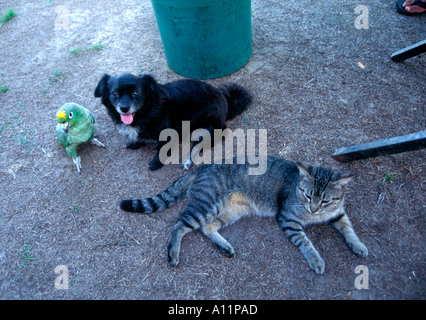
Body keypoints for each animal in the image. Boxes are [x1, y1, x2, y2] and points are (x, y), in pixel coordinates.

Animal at [95, 74, 251, 171]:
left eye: (136, 92)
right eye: (115, 93)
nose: (124, 108)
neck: (146, 112)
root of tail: (226, 101)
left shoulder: (167, 133)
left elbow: (161, 149)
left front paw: (156, 162)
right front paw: (134, 142)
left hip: (209, 126)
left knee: (197, 145)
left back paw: (187, 160)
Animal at [120, 156, 366, 274]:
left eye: (325, 200)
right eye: (306, 195)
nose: (314, 209)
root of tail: (202, 167)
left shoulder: (337, 213)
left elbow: (349, 228)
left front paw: (358, 245)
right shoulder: (288, 219)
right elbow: (306, 243)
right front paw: (316, 260)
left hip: (229, 212)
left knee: (206, 228)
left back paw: (225, 246)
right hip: (206, 206)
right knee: (179, 224)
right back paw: (173, 253)